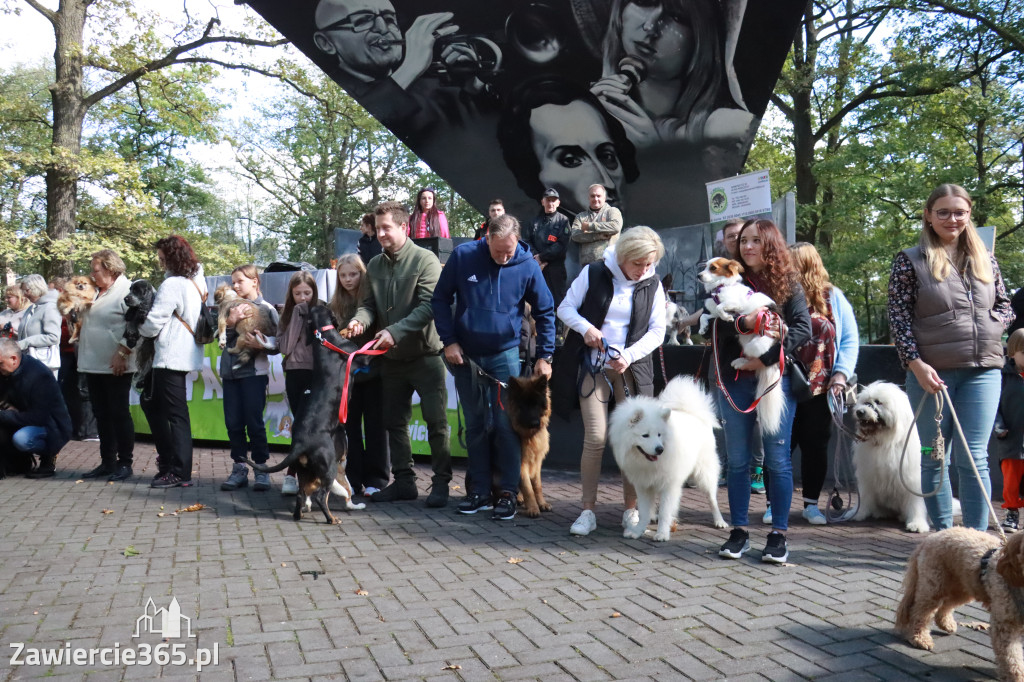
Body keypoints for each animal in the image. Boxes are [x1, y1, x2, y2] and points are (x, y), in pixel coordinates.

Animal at [246, 303, 368, 520]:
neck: (324, 337)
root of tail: (300, 444)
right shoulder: (358, 358)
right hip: (328, 468)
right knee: (322, 496)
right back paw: (332, 519)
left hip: (305, 471)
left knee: (302, 495)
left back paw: (299, 514)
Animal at [505, 372, 552, 516]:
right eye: (523, 406)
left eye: (536, 404)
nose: (535, 423)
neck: (529, 436)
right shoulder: (521, 464)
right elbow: (528, 487)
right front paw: (533, 508)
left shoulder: (537, 463)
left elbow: (537, 485)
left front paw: (541, 503)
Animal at [606, 374, 729, 540]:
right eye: (645, 435)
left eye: (659, 434)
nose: (660, 449)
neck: (647, 463)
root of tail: (692, 413)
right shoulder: (643, 485)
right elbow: (644, 512)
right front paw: (638, 531)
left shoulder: (669, 485)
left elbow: (665, 512)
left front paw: (662, 534)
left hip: (705, 473)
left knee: (712, 498)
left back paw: (719, 521)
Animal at [696, 258, 782, 432]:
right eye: (705, 266)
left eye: (713, 268)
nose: (698, 276)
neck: (720, 287)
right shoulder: (712, 313)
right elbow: (705, 316)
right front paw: (703, 328)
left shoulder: (736, 304)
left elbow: (721, 308)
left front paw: (727, 317)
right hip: (745, 341)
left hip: (757, 344)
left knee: (756, 359)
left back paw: (741, 362)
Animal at [843, 376, 933, 532]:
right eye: (865, 402)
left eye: (878, 402)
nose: (859, 412)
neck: (886, 441)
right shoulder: (867, 475)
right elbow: (863, 497)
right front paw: (857, 513)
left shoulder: (912, 479)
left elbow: (916, 502)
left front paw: (917, 523)